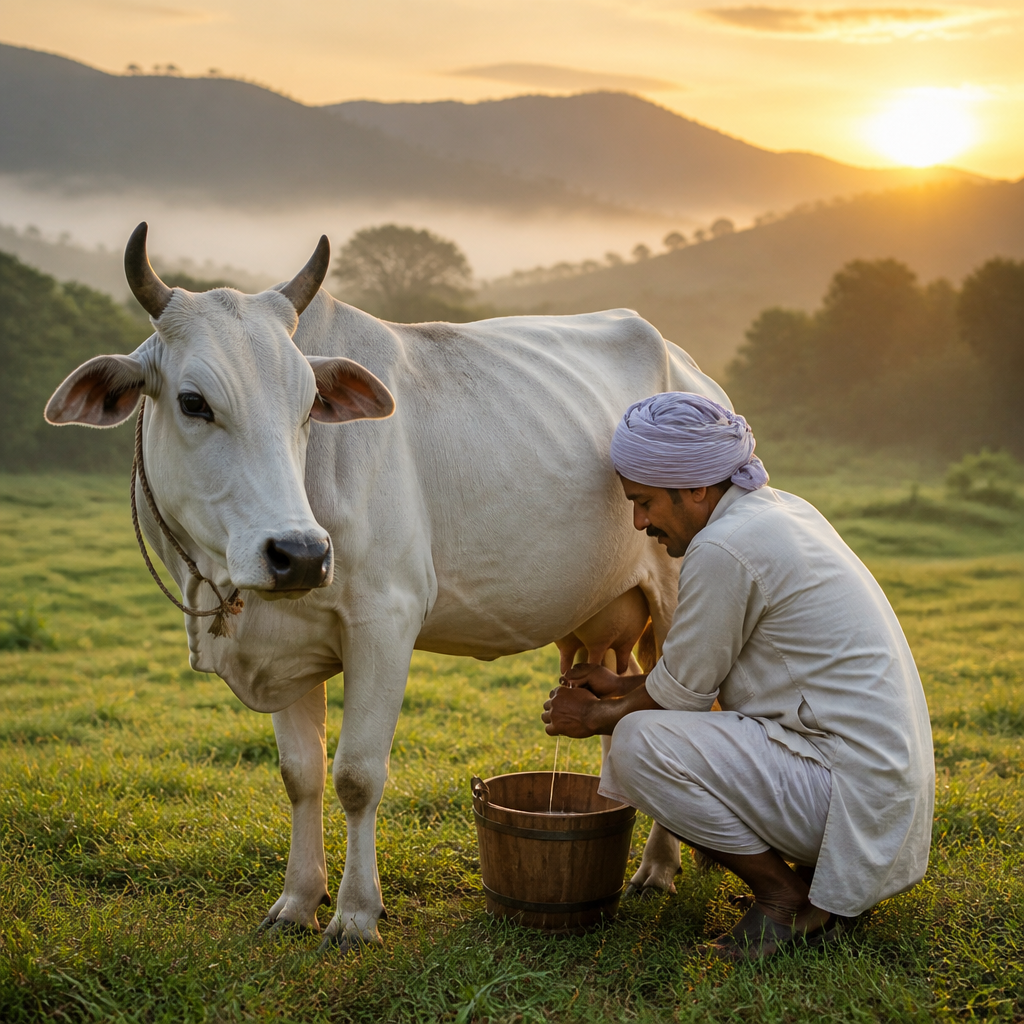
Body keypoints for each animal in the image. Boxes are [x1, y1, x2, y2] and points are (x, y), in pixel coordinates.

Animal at [45, 224, 731, 951]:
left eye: (308, 407)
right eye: (193, 402)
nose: (300, 556)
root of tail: (691, 369)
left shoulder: (384, 623)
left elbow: (356, 776)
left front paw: (355, 913)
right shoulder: (287, 646)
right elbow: (301, 775)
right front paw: (297, 900)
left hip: (678, 601)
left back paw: (660, 868)